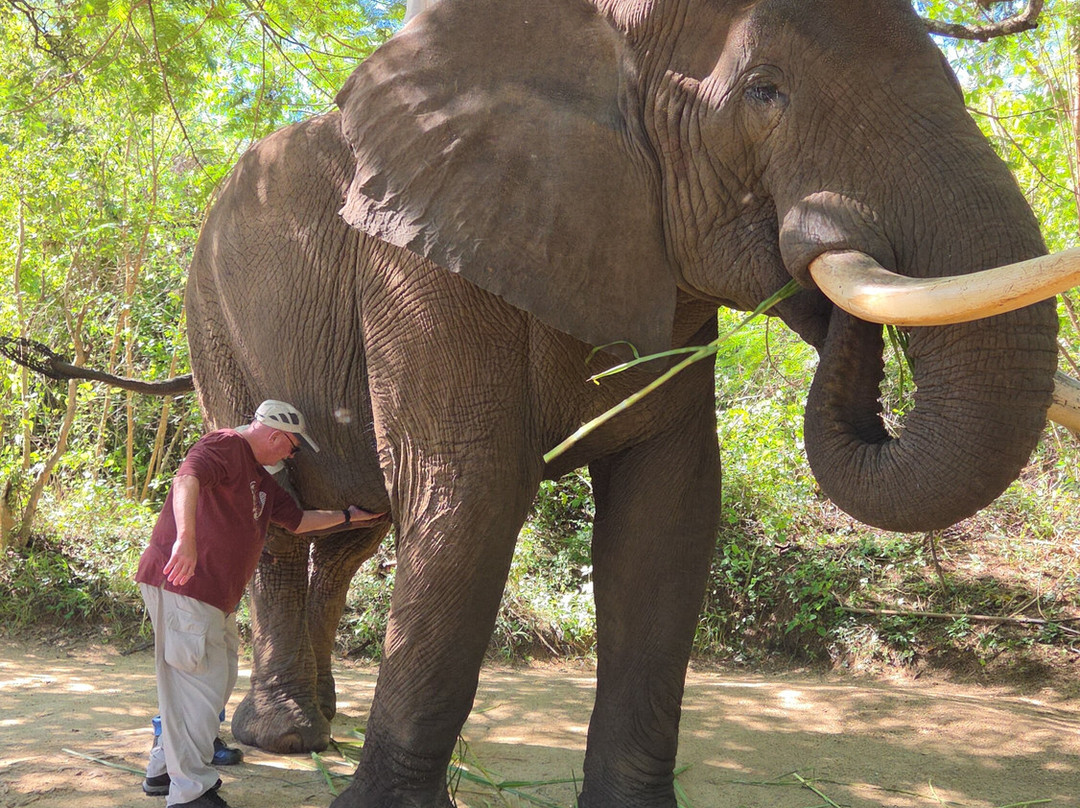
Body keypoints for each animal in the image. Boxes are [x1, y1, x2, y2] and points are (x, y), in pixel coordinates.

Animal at [183, 0, 1079, 805]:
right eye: (765, 92)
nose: (828, 232)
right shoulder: (420, 259)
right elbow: (469, 493)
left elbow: (667, 511)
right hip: (212, 320)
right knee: (277, 511)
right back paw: (284, 735)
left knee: (350, 532)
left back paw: (320, 720)